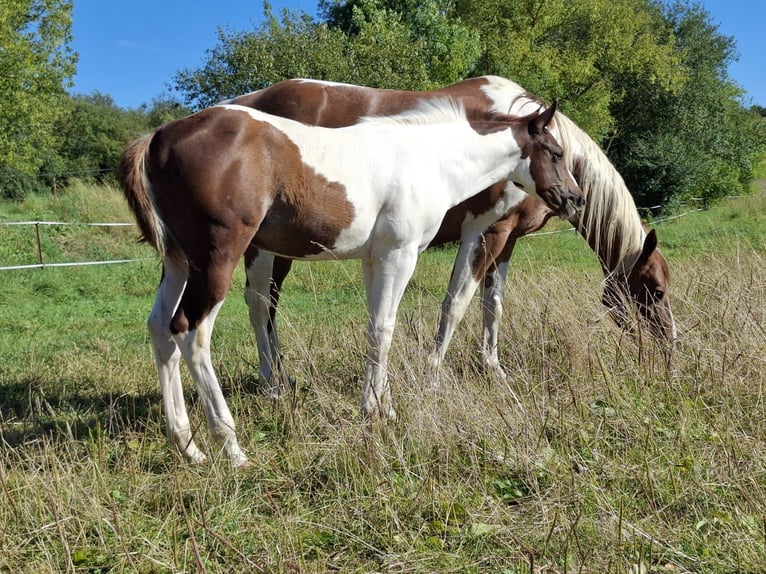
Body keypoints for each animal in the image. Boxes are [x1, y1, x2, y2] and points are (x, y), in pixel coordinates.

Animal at [120, 100, 584, 468]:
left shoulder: (374, 260)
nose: (574, 198)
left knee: (160, 329)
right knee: (191, 332)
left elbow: (375, 328)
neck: (429, 159)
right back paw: (231, 448)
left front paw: (383, 407)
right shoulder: (400, 254)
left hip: (179, 263)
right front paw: (376, 412)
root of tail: (159, 137)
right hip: (218, 259)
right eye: (557, 152)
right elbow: (384, 329)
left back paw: (188, 447)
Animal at [228, 74, 680, 384]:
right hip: (265, 248)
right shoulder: (483, 233)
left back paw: (281, 375)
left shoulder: (508, 241)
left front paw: (493, 369)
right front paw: (433, 372)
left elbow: (492, 305)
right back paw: (271, 381)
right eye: (656, 291)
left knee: (269, 304)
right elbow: (456, 303)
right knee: (260, 304)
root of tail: (240, 102)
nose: (669, 347)